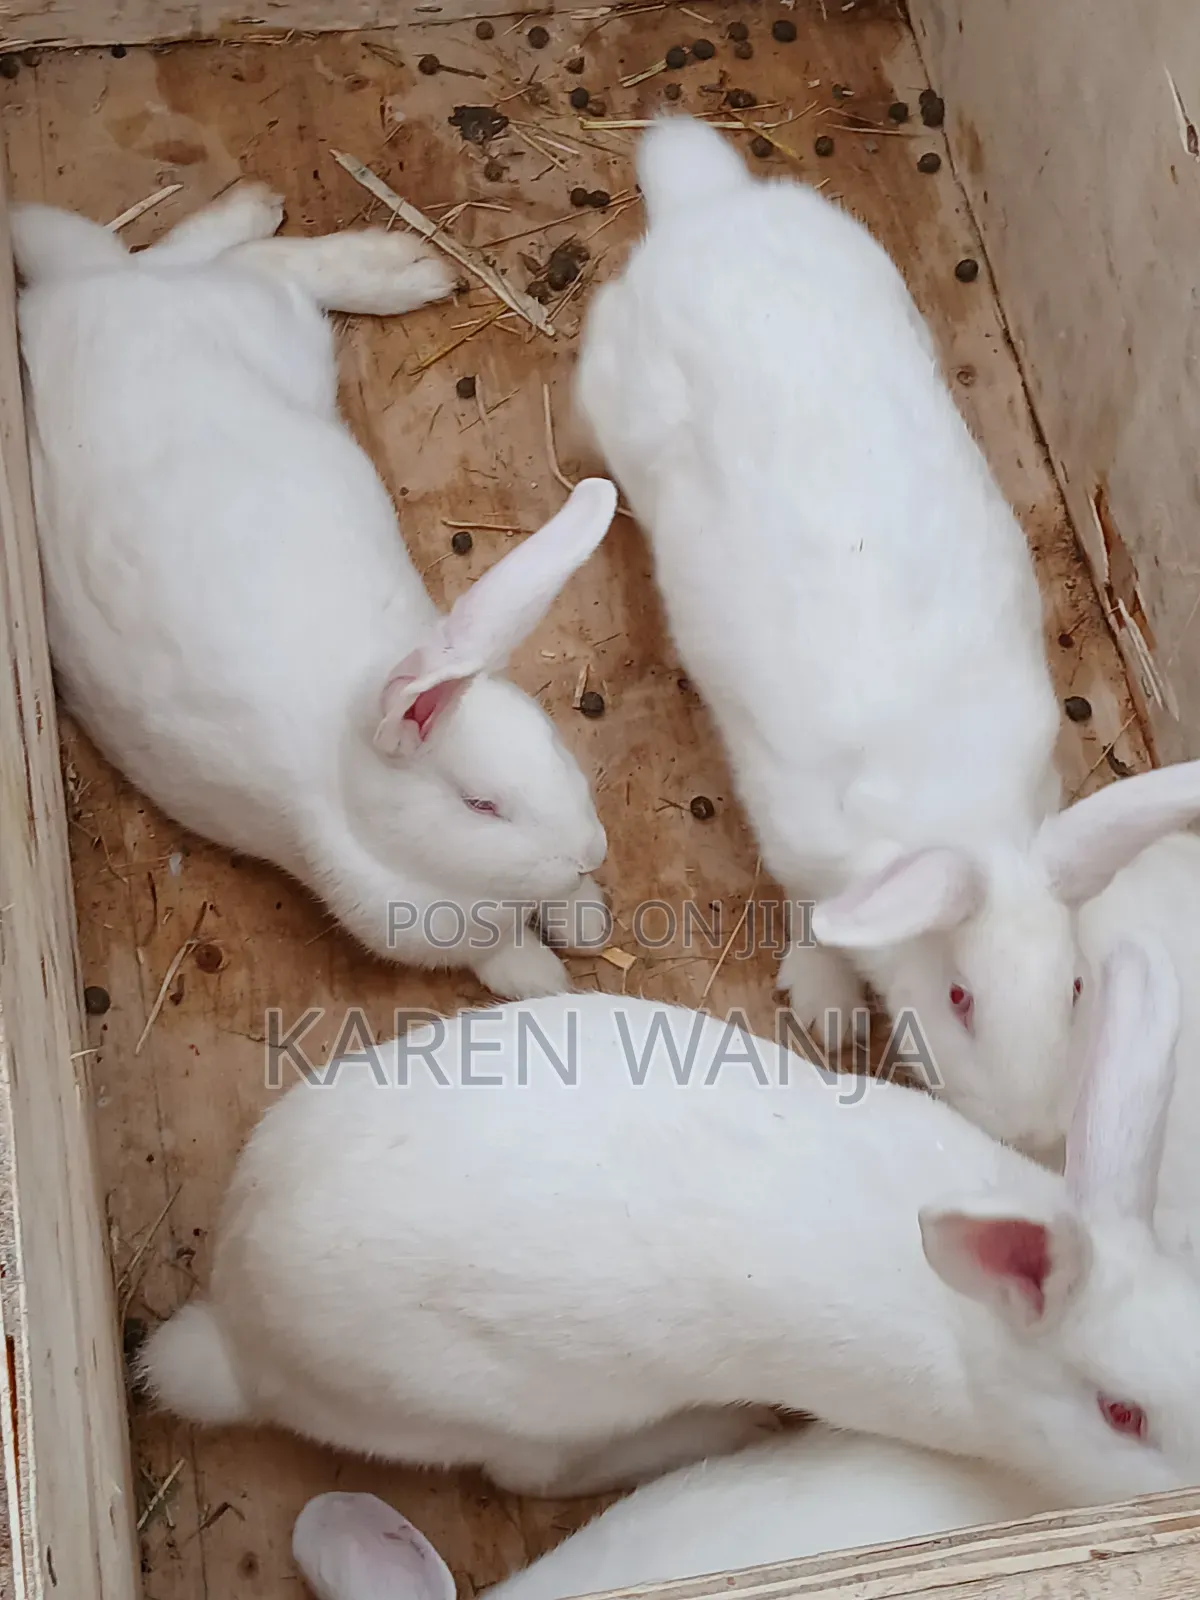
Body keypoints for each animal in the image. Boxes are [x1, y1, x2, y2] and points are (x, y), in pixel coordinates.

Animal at [12, 185, 618, 1001]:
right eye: (481, 806)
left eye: (552, 739)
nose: (591, 851)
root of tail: (74, 292)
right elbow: (502, 957)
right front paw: (551, 978)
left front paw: (588, 917)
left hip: (258, 328)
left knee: (229, 262)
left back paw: (373, 256)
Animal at [138, 933, 1200, 1512]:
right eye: (1121, 1415)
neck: (979, 1333)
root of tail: (237, 1335)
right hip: (506, 1405)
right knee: (533, 1476)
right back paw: (718, 1429)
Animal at [572, 114, 1200, 1154]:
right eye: (958, 998)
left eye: (1076, 989)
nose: (1032, 1131)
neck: (963, 813)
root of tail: (709, 204)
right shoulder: (795, 832)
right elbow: (812, 916)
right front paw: (825, 1000)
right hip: (614, 391)